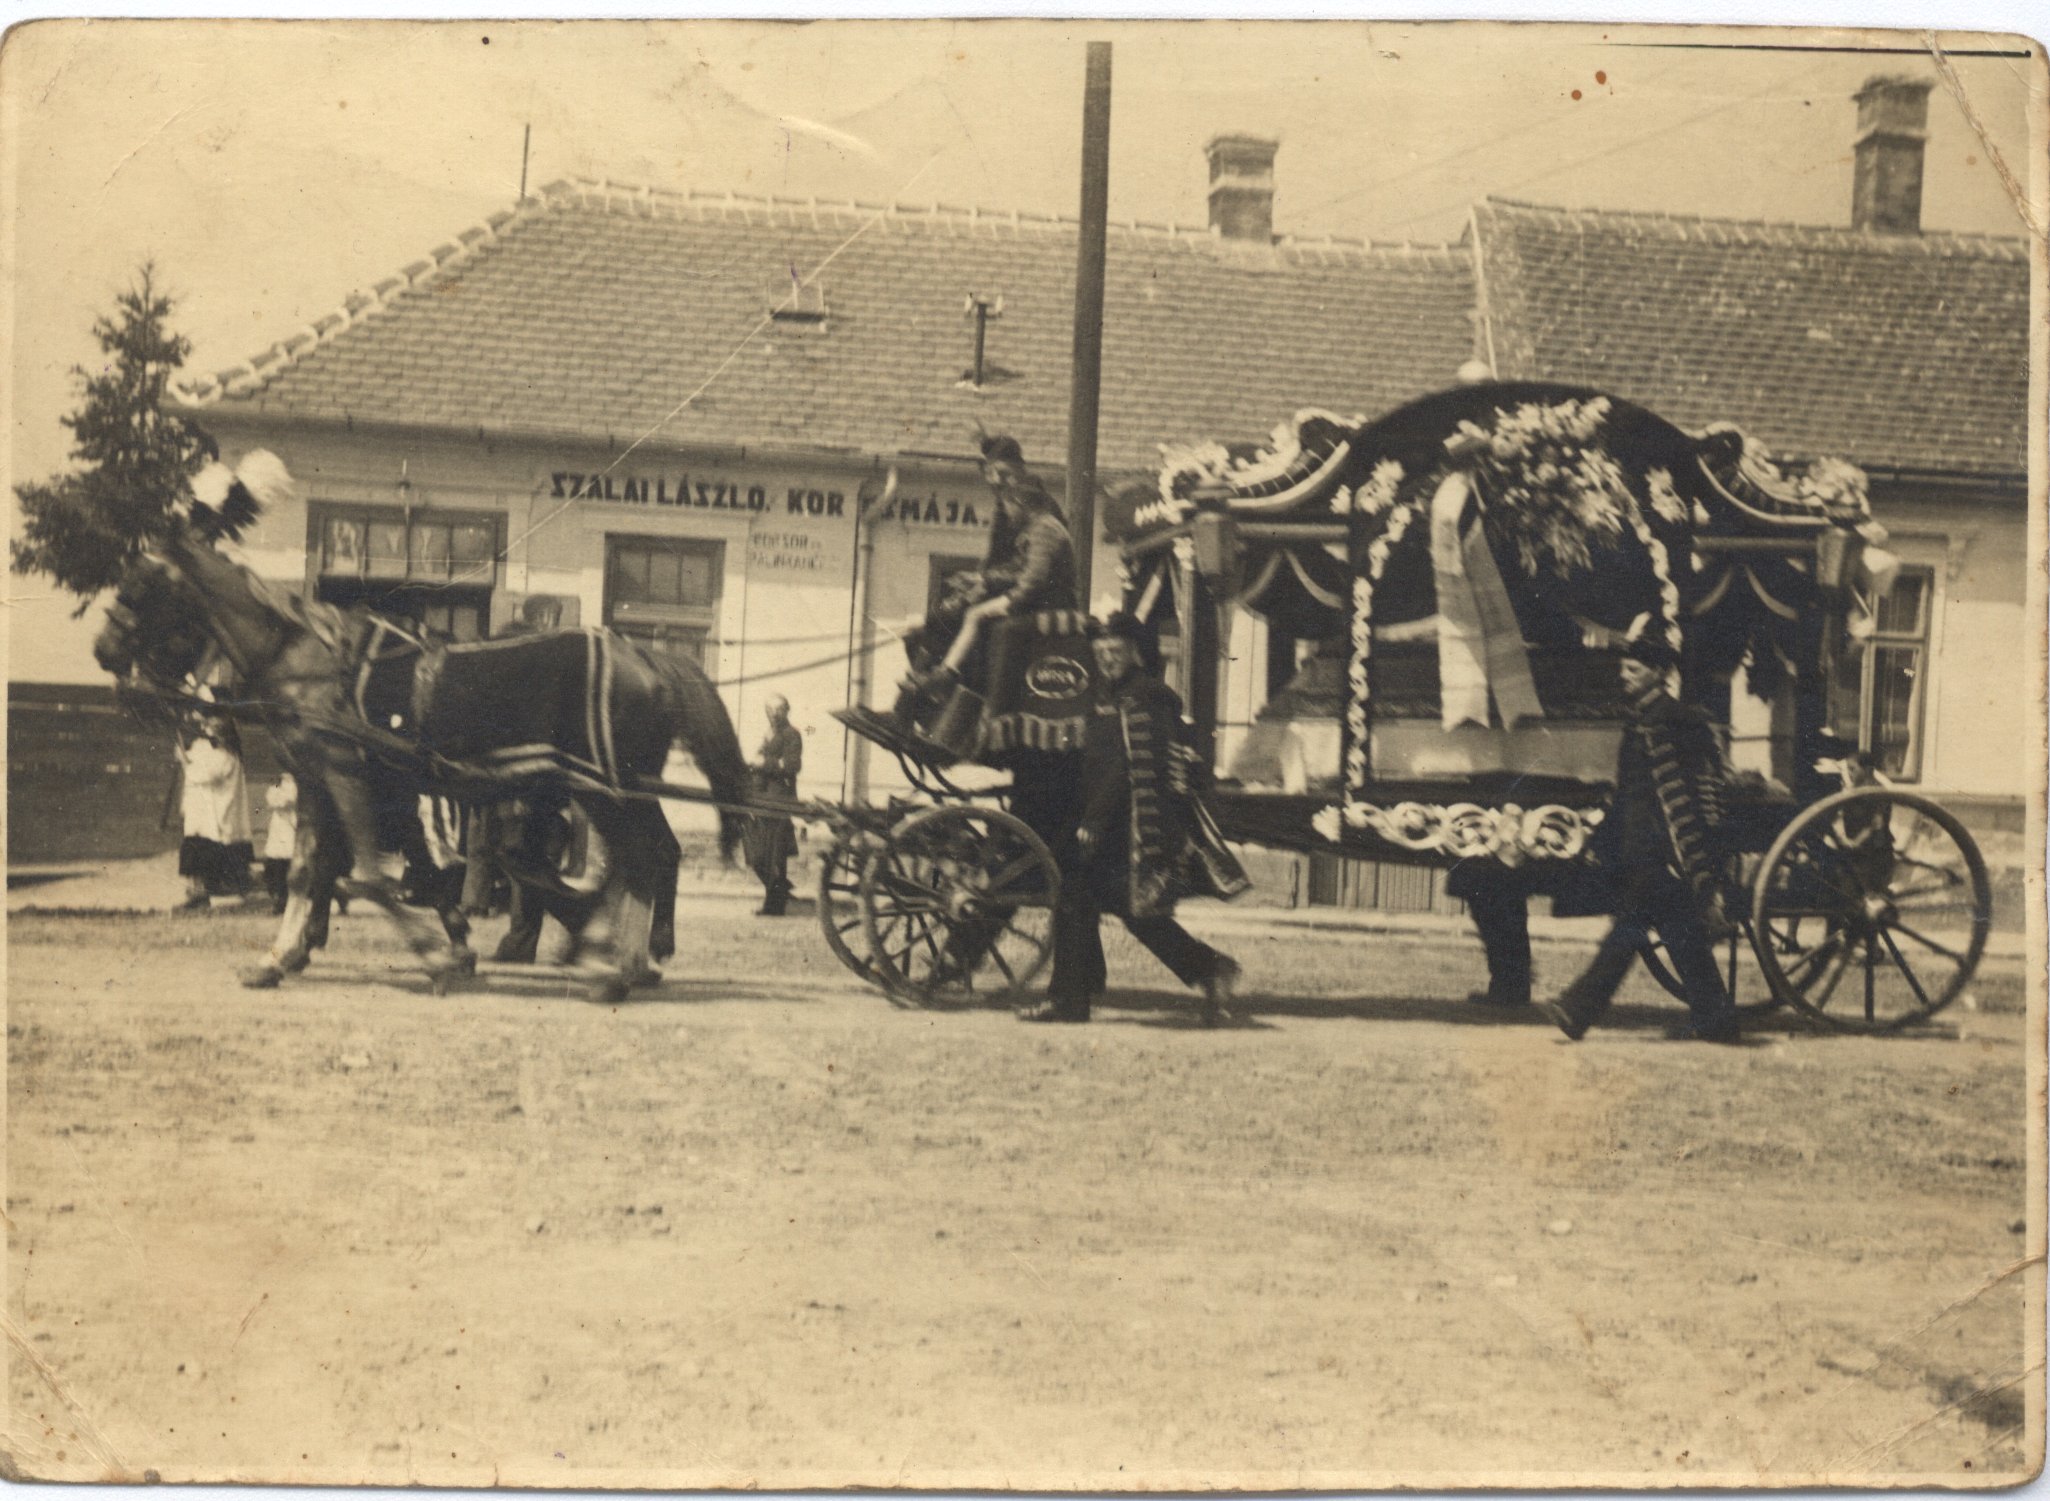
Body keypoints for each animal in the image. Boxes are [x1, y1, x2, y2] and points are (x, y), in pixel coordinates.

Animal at [94, 453, 750, 1002]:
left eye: (140, 581)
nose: (103, 649)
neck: (305, 657)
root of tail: (647, 656)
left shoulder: (347, 775)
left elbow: (368, 874)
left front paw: (435, 954)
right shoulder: (318, 780)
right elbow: (314, 872)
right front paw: (279, 956)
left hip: (602, 788)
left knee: (640, 857)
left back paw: (609, 962)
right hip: (620, 789)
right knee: (649, 855)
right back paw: (622, 958)